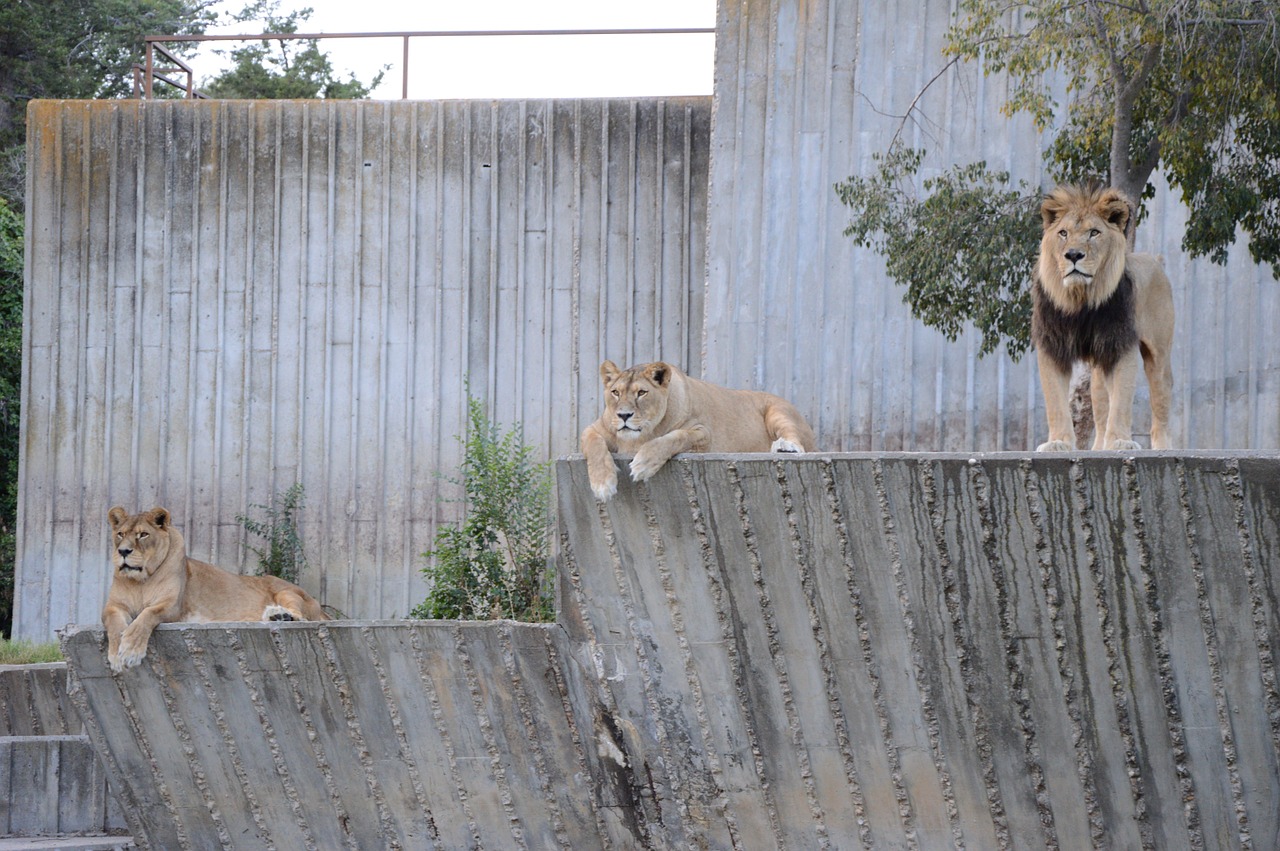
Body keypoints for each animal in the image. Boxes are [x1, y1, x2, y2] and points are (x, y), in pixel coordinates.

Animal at [103, 504, 327, 670]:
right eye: (120, 534)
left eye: (143, 535)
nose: (123, 551)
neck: (141, 581)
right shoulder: (112, 607)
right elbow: (114, 625)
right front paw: (116, 655)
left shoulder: (171, 606)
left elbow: (146, 616)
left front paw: (130, 650)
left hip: (286, 591)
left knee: (303, 618)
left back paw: (281, 616)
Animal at [583, 355, 819, 499]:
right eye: (615, 392)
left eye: (641, 393)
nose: (623, 415)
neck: (640, 436)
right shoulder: (593, 429)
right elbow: (594, 446)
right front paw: (602, 484)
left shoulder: (704, 434)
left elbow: (674, 437)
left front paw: (643, 464)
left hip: (778, 411)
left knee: (797, 441)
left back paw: (784, 447)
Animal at [1034, 185, 1172, 450]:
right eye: (1063, 233)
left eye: (1094, 233)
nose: (1073, 255)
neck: (1081, 299)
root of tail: (1154, 259)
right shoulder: (1052, 345)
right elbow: (1055, 402)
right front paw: (1058, 443)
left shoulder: (1120, 344)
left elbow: (1121, 400)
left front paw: (1120, 442)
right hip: (1097, 367)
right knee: (1099, 407)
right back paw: (1098, 447)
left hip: (1158, 354)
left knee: (1161, 400)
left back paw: (1163, 448)